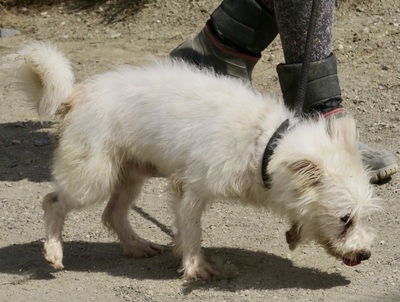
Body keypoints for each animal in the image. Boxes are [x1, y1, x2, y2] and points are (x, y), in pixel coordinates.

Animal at [14, 42, 380, 278]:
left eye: (362, 216)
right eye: (345, 218)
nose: (365, 254)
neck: (265, 145)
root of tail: (75, 94)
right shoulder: (190, 190)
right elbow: (192, 231)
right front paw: (195, 267)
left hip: (131, 175)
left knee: (113, 214)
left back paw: (136, 246)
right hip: (93, 177)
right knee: (53, 202)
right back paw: (54, 250)